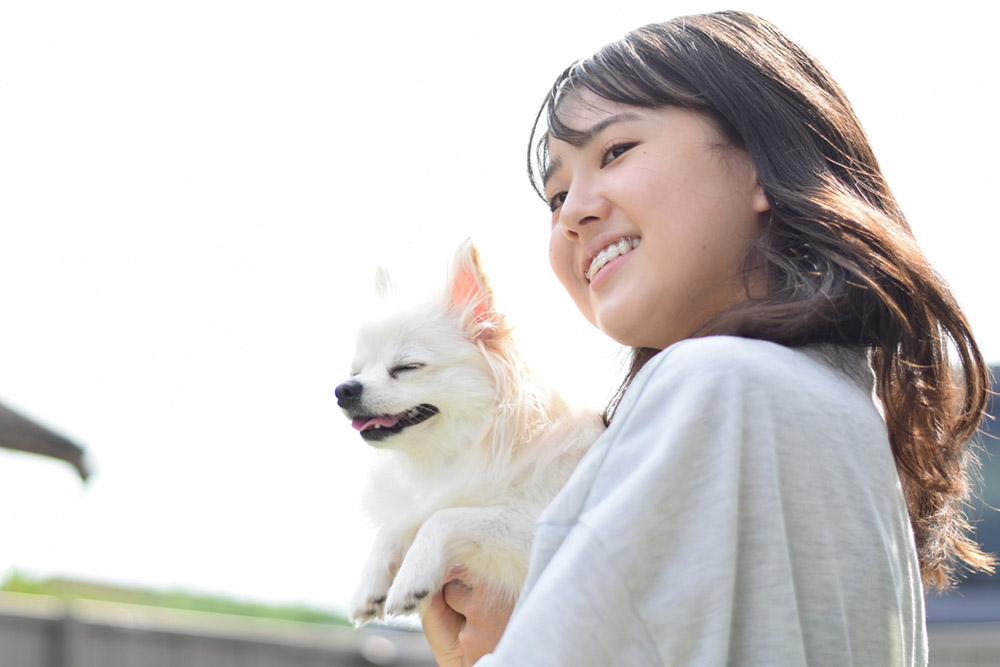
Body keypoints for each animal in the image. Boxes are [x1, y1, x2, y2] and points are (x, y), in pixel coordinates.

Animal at [336, 241, 600, 628]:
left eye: (407, 367)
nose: (343, 390)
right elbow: (398, 524)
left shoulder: (536, 527)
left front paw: (411, 576)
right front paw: (368, 584)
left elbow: (444, 516)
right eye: (356, 371)